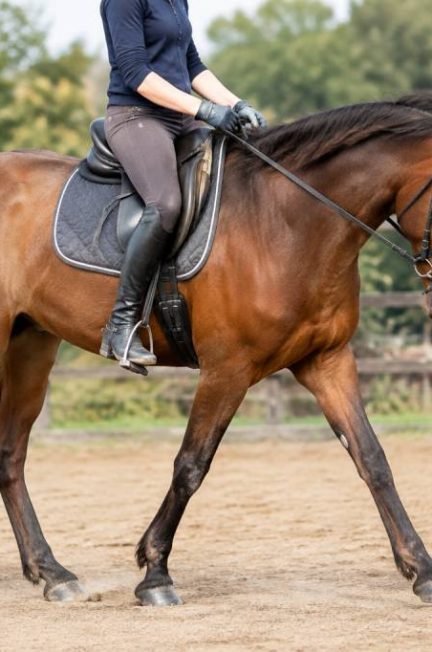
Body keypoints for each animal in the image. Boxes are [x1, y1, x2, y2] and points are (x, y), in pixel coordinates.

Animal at [2, 93, 432, 607]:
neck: (285, 221)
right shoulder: (227, 369)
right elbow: (191, 465)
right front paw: (155, 574)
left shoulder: (327, 361)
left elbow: (372, 459)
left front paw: (421, 570)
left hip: (30, 346)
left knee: (10, 455)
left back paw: (53, 573)